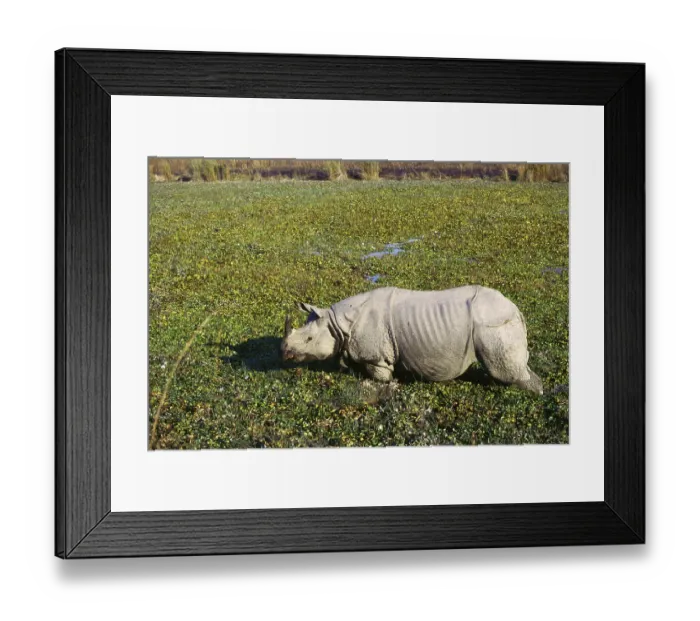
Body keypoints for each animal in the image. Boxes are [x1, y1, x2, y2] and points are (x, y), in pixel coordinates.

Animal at [281, 285, 544, 394]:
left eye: (309, 339)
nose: (284, 353)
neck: (337, 324)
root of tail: (516, 309)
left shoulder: (376, 357)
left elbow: (380, 377)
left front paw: (381, 387)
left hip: (493, 324)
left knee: (505, 371)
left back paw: (533, 393)